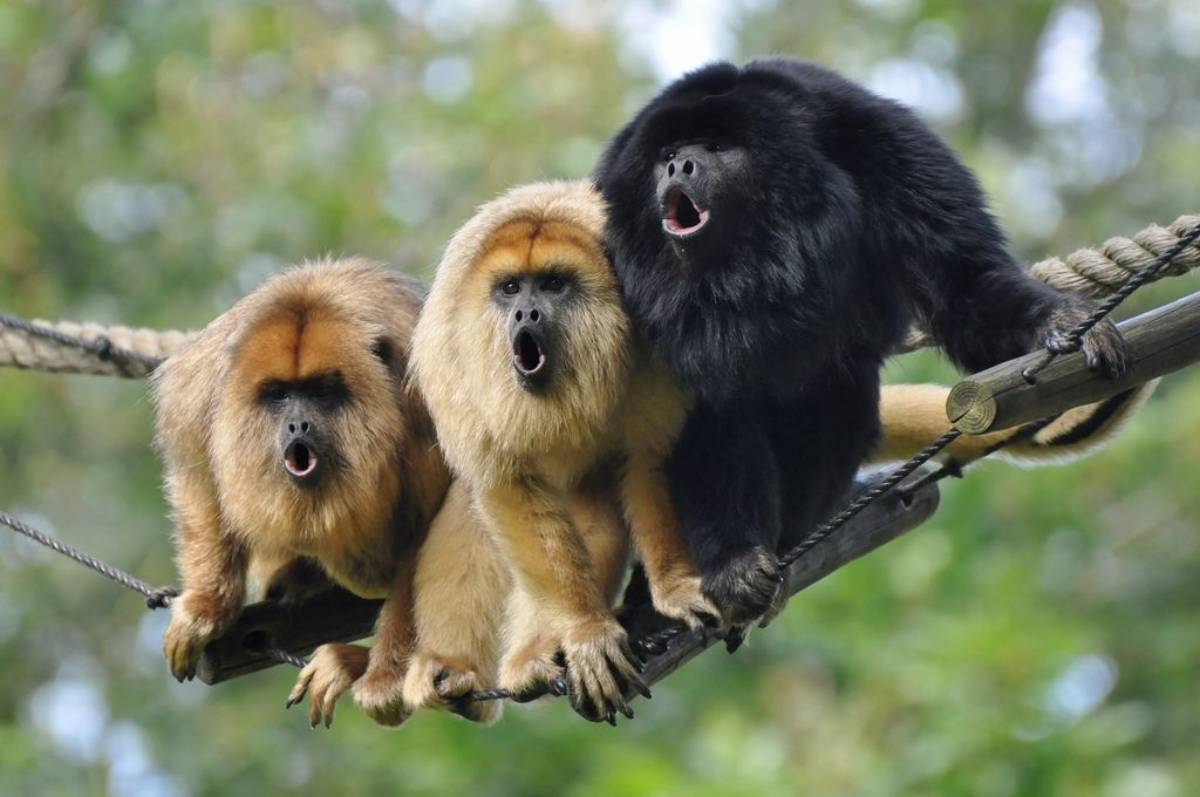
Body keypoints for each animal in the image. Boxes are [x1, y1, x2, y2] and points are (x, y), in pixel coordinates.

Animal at [152, 258, 450, 729]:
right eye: (279, 394)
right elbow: (196, 472)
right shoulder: (203, 392)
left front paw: (385, 680)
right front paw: (206, 608)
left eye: (322, 391)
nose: (297, 425)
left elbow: (433, 533)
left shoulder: (424, 404)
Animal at [409, 180, 720, 724]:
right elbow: (503, 484)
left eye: (554, 285)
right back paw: (482, 665)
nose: (524, 314)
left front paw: (676, 586)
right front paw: (587, 633)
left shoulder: (652, 330)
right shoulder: (457, 361)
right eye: (512, 289)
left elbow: (651, 455)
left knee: (598, 519)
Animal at [593, 58, 1129, 630]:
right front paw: (733, 561)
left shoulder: (886, 146)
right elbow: (693, 404)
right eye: (667, 155)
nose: (679, 167)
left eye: (717, 148)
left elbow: (963, 282)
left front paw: (1063, 320)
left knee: (838, 386)